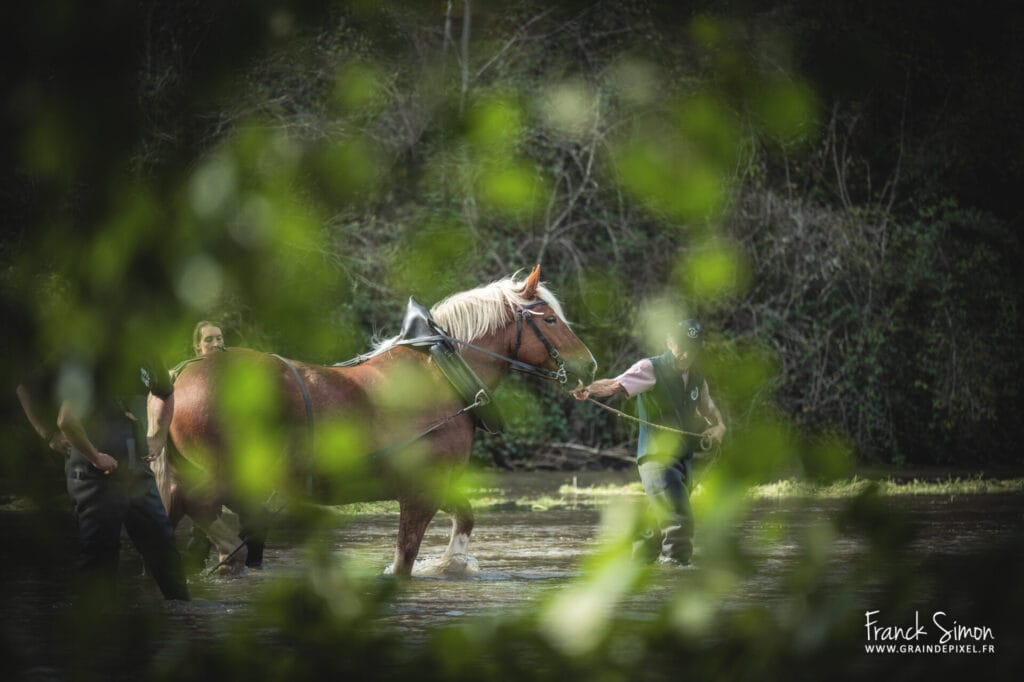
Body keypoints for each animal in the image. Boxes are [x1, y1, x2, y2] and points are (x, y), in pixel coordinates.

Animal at [161, 266, 597, 576]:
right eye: (550, 320)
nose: (589, 365)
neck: (441, 375)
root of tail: (181, 377)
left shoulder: (435, 483)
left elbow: (466, 517)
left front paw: (452, 563)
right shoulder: (419, 491)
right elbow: (405, 558)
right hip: (226, 473)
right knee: (198, 505)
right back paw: (227, 554)